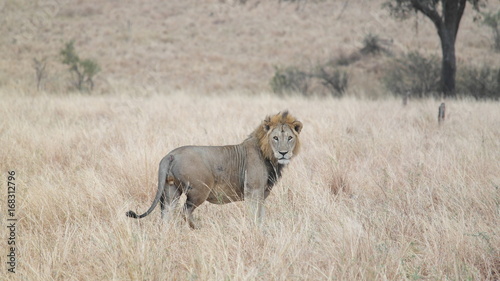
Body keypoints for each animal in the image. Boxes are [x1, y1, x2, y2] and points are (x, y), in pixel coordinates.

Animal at [127, 109, 302, 228]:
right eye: (275, 138)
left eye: (290, 138)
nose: (283, 153)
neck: (268, 155)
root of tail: (171, 155)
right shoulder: (253, 191)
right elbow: (255, 215)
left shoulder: (262, 194)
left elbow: (261, 215)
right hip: (199, 190)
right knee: (185, 211)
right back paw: (198, 229)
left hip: (171, 190)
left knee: (166, 214)